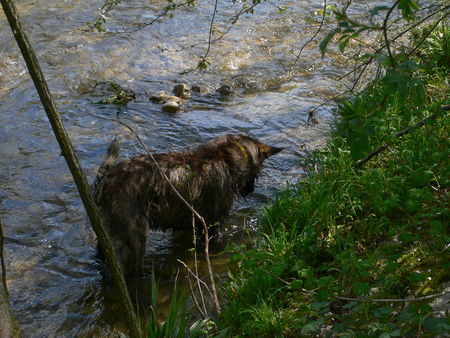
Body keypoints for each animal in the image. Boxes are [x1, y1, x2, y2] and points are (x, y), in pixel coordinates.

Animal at [92, 133, 282, 274]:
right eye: (258, 172)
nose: (251, 189)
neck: (226, 157)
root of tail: (106, 179)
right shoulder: (212, 226)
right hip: (134, 239)